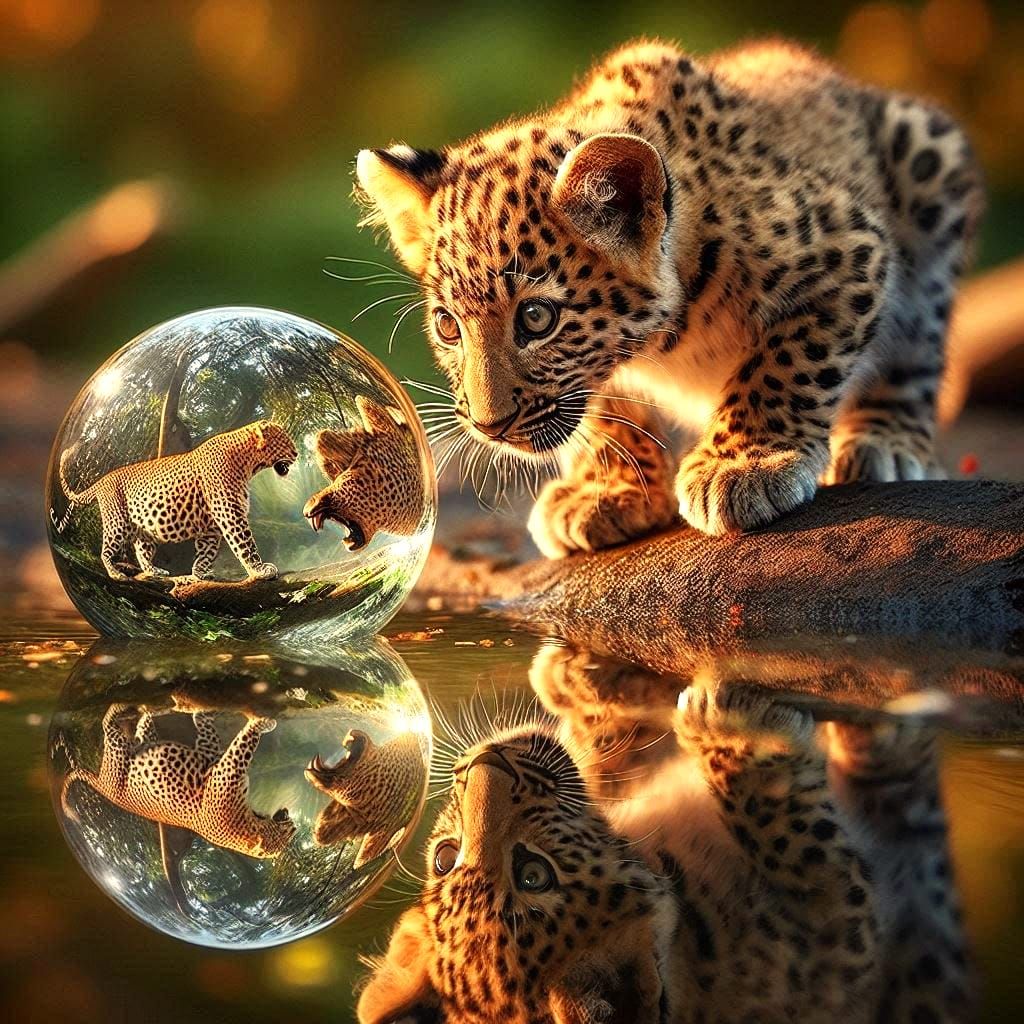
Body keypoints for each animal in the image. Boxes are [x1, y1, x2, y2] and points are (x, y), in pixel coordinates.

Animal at [54, 419, 298, 581]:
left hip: (143, 529)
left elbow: (207, 552)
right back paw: (115, 573)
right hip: (117, 521)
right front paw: (259, 570)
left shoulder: (211, 527)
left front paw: (199, 574)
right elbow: (245, 544)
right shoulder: (230, 513)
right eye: (285, 440)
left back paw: (154, 571)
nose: (296, 454)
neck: (247, 462)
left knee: (141, 551)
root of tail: (101, 481)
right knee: (105, 550)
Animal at [60, 701, 296, 859]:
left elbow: (238, 742)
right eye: (287, 834)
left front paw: (260, 721)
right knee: (115, 723)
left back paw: (133, 708)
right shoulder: (219, 763)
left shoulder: (221, 766)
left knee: (117, 726)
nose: (294, 826)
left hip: (123, 754)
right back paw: (138, 707)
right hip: (124, 753)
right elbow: (224, 736)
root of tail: (102, 785)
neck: (248, 821)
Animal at [354, 38, 983, 553]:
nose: (490, 427)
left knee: (914, 348)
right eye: (448, 326)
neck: (666, 339)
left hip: (929, 166)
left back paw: (885, 439)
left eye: (535, 318)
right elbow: (606, 412)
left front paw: (741, 464)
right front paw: (608, 491)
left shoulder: (849, 248)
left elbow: (787, 364)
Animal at [356, 649, 972, 1023]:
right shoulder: (835, 943)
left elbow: (608, 751)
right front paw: (733, 732)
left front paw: (582, 674)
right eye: (533, 875)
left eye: (443, 857)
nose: (488, 764)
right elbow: (797, 843)